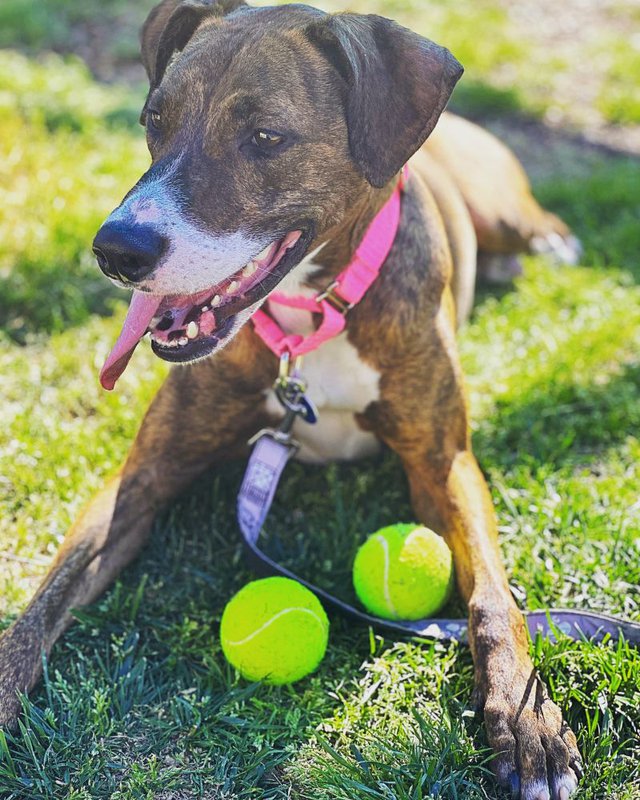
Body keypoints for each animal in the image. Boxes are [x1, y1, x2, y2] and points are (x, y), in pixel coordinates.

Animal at [0, 3, 584, 796]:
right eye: (155, 120)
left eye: (266, 138)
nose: (115, 250)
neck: (312, 317)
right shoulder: (139, 481)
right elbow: (47, 598)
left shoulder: (444, 465)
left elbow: (494, 598)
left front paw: (528, 723)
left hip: (499, 205)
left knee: (530, 220)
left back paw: (551, 245)